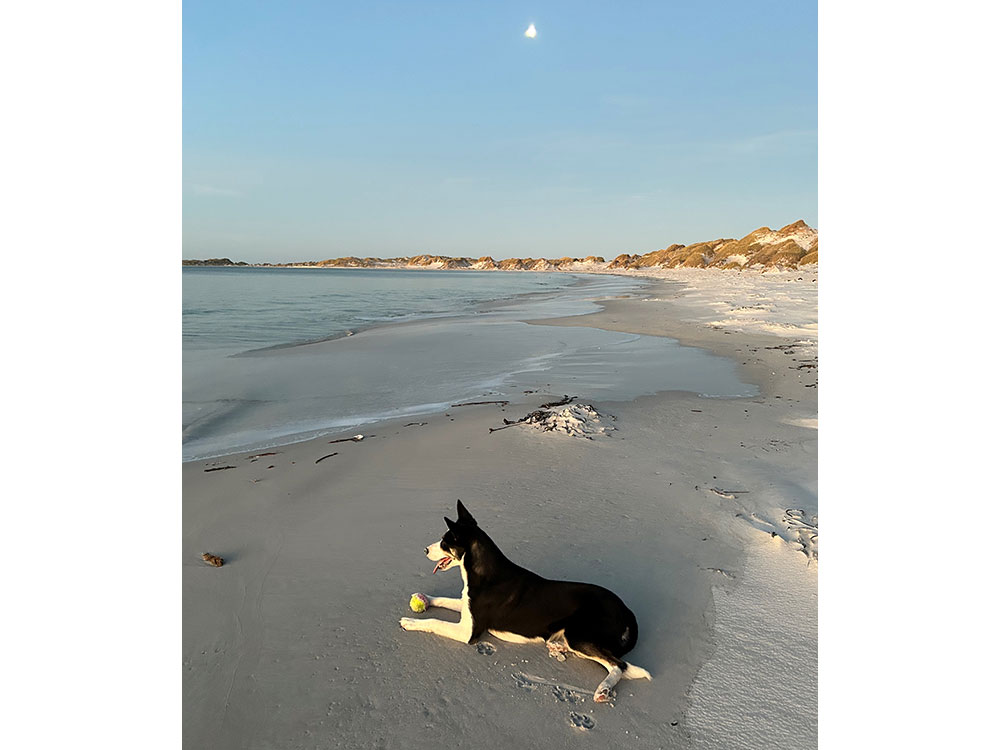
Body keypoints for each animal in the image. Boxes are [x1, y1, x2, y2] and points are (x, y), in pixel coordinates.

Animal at [402, 502, 652, 704]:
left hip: (578, 633)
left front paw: (410, 622)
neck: (483, 571)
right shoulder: (466, 607)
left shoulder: (468, 632)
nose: (425, 550)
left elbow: (435, 622)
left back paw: (603, 689)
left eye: (445, 542)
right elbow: (445, 600)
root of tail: (627, 611)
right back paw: (558, 646)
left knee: (619, 665)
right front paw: (424, 599)